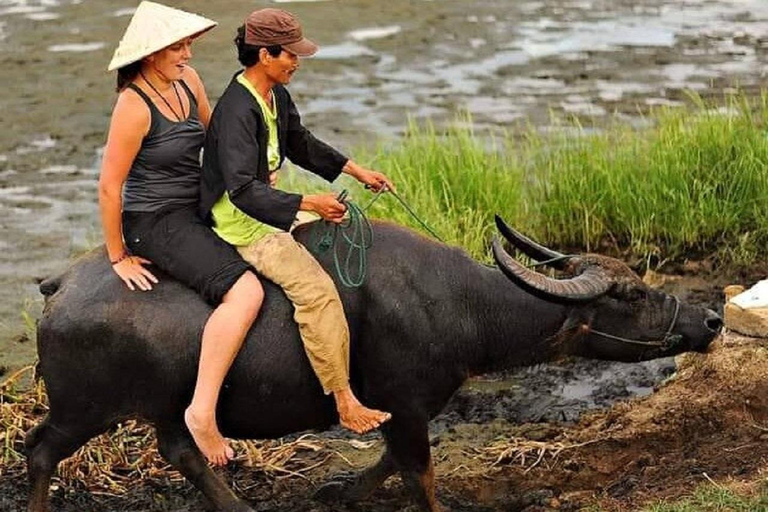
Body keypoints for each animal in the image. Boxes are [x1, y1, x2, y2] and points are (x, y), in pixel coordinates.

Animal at [24, 216, 720, 512]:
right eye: (631, 295)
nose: (710, 320)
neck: (460, 303)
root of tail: (58, 285)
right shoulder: (407, 405)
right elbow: (420, 475)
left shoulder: (398, 409)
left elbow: (391, 463)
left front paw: (338, 491)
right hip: (82, 409)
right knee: (39, 451)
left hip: (167, 408)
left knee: (182, 452)